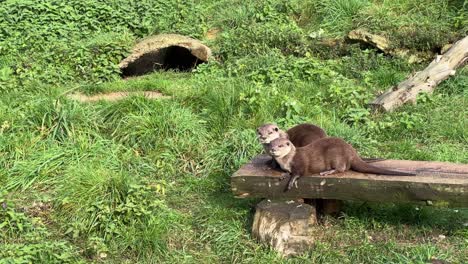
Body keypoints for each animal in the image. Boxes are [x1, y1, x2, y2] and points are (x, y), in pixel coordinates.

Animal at [266, 137, 416, 191]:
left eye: (280, 145)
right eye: (271, 144)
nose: (273, 149)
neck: (288, 160)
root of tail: (351, 152)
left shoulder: (300, 163)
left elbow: (298, 173)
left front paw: (291, 181)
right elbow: (288, 171)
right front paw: (284, 175)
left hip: (336, 155)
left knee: (342, 168)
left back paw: (328, 172)